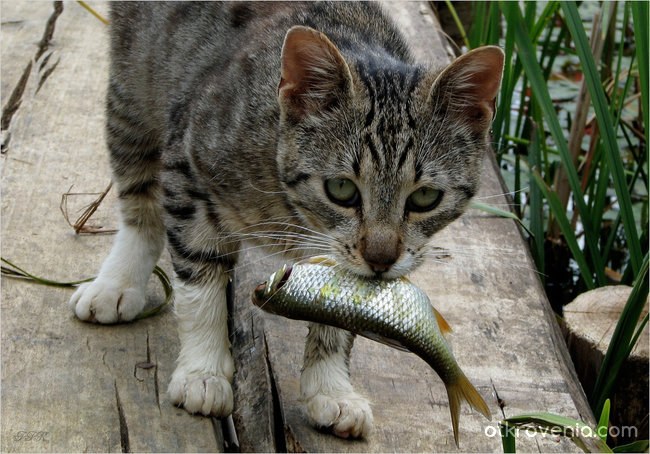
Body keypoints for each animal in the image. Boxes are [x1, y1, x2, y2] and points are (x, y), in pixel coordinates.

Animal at [68, 0, 504, 440]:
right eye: (341, 189)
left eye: (425, 197)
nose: (380, 258)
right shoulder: (187, 164)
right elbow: (198, 279)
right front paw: (202, 372)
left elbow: (342, 301)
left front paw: (330, 388)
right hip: (133, 83)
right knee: (139, 195)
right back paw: (118, 283)